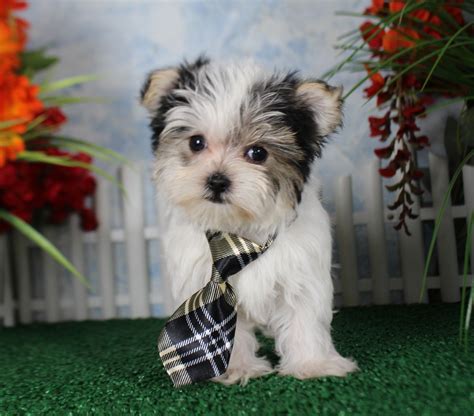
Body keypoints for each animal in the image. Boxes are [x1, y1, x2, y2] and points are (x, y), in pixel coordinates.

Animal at [143, 57, 358, 386]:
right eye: (196, 142)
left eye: (258, 152)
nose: (217, 180)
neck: (238, 236)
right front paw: (238, 368)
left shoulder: (302, 270)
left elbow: (304, 315)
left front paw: (313, 364)